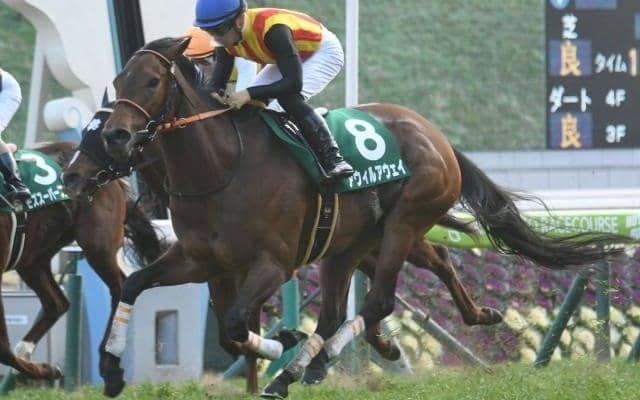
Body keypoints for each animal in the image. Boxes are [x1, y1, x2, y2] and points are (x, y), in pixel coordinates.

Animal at [0, 141, 163, 383]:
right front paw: (45, 369)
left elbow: (2, 349)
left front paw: (46, 370)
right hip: (32, 258)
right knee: (58, 303)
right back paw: (27, 355)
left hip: (98, 246)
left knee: (119, 287)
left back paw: (105, 354)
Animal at [98, 37, 626, 398]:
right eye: (118, 82)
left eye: (152, 81)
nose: (116, 137)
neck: (224, 167)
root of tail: (434, 133)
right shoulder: (198, 259)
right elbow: (137, 287)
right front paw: (111, 368)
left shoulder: (272, 266)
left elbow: (231, 325)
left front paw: (281, 344)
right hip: (356, 242)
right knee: (412, 274)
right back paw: (468, 318)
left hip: (403, 223)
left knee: (376, 302)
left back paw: (317, 363)